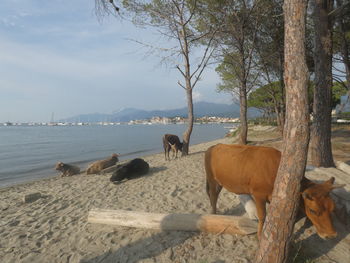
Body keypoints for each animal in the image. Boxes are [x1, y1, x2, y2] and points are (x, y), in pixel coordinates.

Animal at [205, 144, 344, 241]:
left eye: (332, 208)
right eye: (313, 210)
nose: (331, 235)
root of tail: (214, 146)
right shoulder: (259, 194)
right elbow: (262, 215)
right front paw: (260, 235)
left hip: (220, 181)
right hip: (211, 178)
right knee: (213, 196)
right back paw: (213, 214)